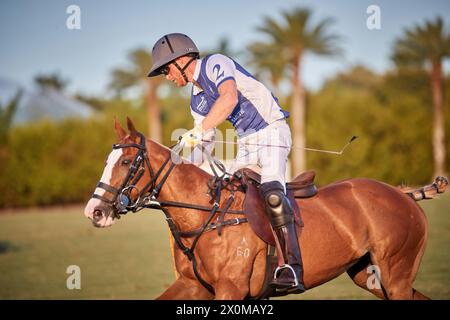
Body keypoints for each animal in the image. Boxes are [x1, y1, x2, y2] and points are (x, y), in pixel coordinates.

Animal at [84, 118, 446, 300]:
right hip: (367, 275)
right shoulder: (193, 285)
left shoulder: (230, 288)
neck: (205, 214)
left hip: (396, 273)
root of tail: (402, 194)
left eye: (127, 162)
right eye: (106, 160)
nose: (94, 212)